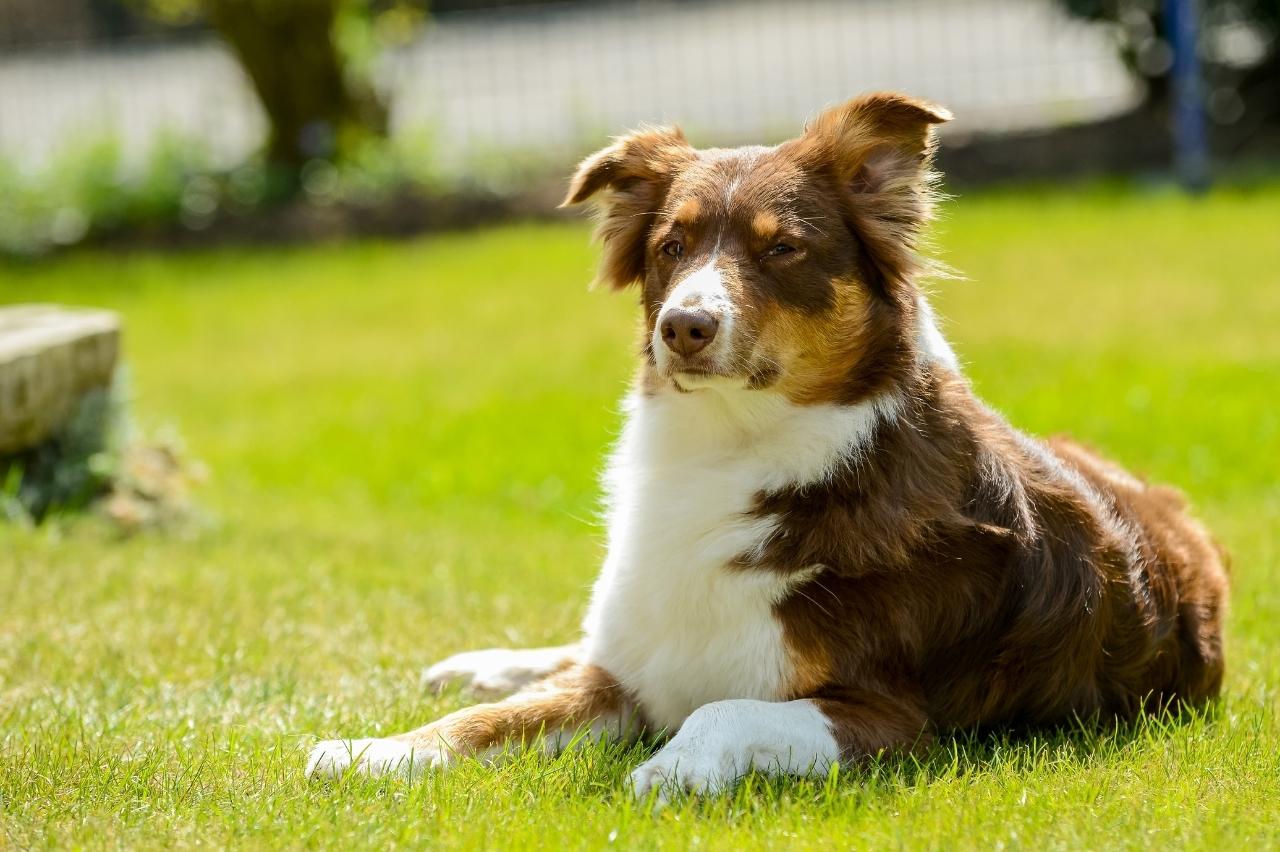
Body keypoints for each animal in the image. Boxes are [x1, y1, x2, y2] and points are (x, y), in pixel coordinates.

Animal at [307, 92, 1228, 798]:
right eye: (671, 246)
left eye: (782, 247)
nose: (685, 326)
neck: (729, 450)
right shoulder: (627, 677)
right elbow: (488, 721)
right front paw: (377, 750)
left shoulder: (894, 718)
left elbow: (723, 707)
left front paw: (673, 768)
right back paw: (489, 662)